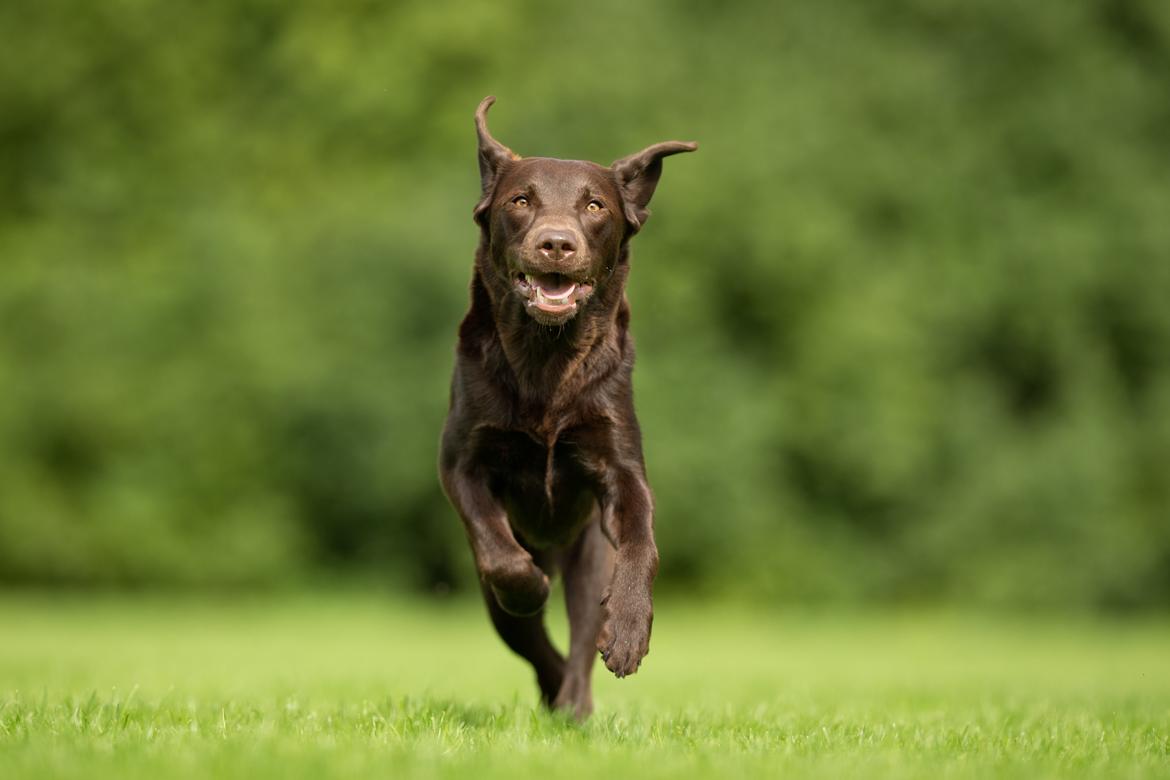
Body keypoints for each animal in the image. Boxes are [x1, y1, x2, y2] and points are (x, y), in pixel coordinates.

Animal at [439, 95, 692, 720]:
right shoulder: (460, 462)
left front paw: (630, 631)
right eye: (520, 201)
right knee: (533, 640)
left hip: (588, 556)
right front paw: (531, 587)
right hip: (497, 604)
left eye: (595, 206)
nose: (557, 243)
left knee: (580, 638)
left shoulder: (620, 464)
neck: (547, 361)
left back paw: (578, 701)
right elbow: (499, 552)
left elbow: (642, 542)